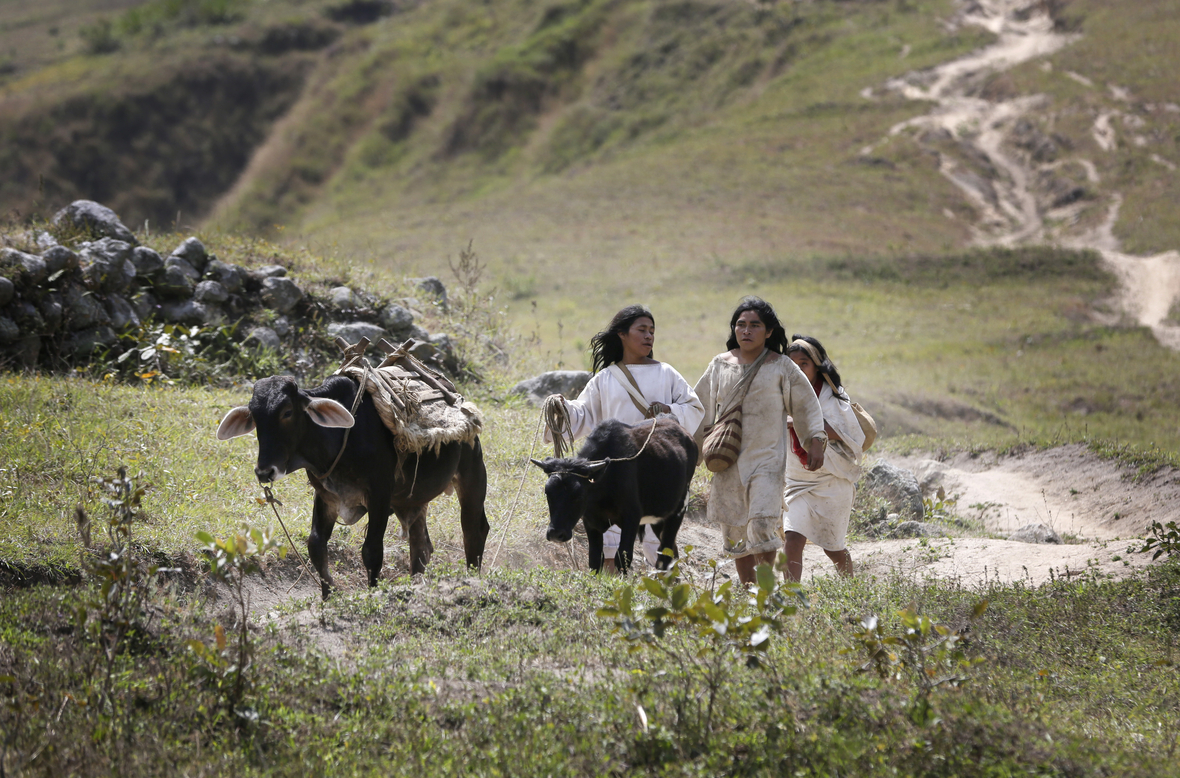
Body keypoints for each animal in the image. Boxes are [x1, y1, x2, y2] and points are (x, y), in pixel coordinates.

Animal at [217, 375, 488, 599]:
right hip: (415, 500)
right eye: (254, 415)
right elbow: (316, 546)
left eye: (287, 412)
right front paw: (328, 597)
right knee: (421, 546)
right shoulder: (326, 497)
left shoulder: (379, 496)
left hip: (472, 476)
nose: (265, 471)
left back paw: (471, 581)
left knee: (474, 530)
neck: (342, 438)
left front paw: (372, 593)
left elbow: (372, 551)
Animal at [531, 417, 693, 576]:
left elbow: (622, 557)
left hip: (677, 512)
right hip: (658, 520)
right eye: (548, 493)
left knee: (665, 553)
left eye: (578, 495)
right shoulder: (590, 521)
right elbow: (595, 559)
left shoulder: (632, 517)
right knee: (672, 551)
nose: (555, 534)